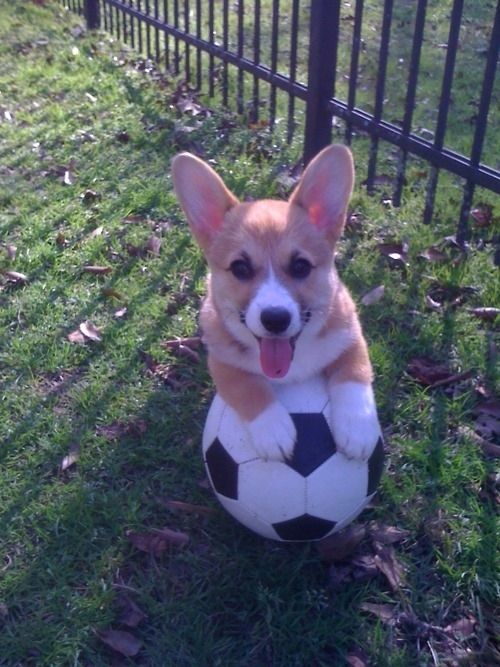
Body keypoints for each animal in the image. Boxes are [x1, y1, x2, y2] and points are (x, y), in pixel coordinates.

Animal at [173, 144, 382, 462]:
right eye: (240, 268)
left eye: (300, 266)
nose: (275, 319)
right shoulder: (221, 361)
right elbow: (247, 386)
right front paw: (272, 430)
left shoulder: (350, 336)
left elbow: (354, 373)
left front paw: (357, 429)